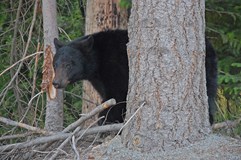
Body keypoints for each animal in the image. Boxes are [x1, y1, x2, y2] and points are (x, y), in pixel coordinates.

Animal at [53, 29, 218, 125]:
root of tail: (209, 44)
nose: (56, 82)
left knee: (208, 92)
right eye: (55, 64)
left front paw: (107, 118)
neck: (97, 60)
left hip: (205, 67)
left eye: (68, 65)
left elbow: (117, 96)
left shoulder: (115, 67)